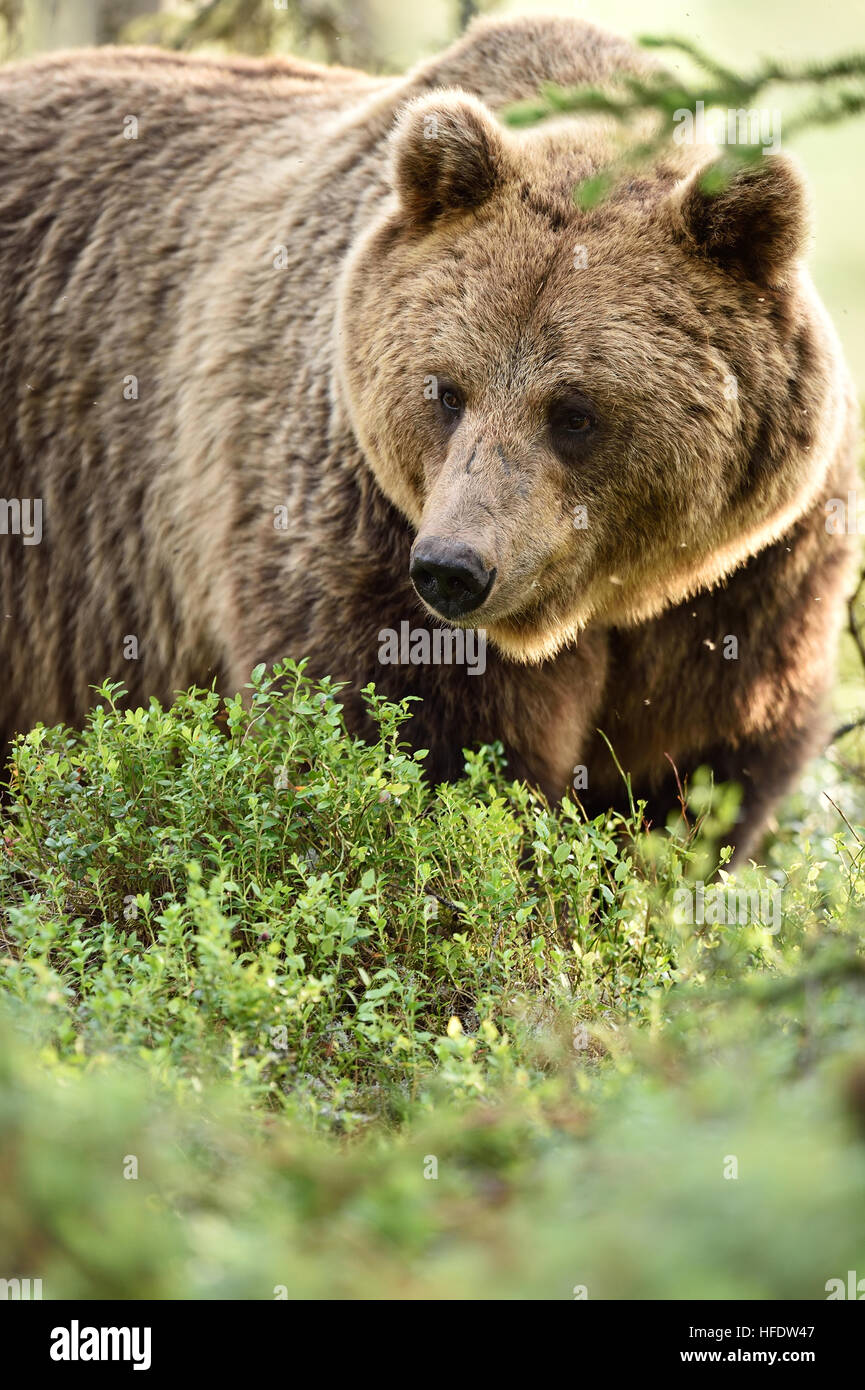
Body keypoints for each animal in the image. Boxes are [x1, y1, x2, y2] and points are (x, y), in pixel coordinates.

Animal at [0, 16, 862, 856]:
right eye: (446, 392)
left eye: (573, 411)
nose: (454, 568)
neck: (608, 596)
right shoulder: (359, 517)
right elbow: (417, 741)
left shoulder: (752, 583)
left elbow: (690, 777)